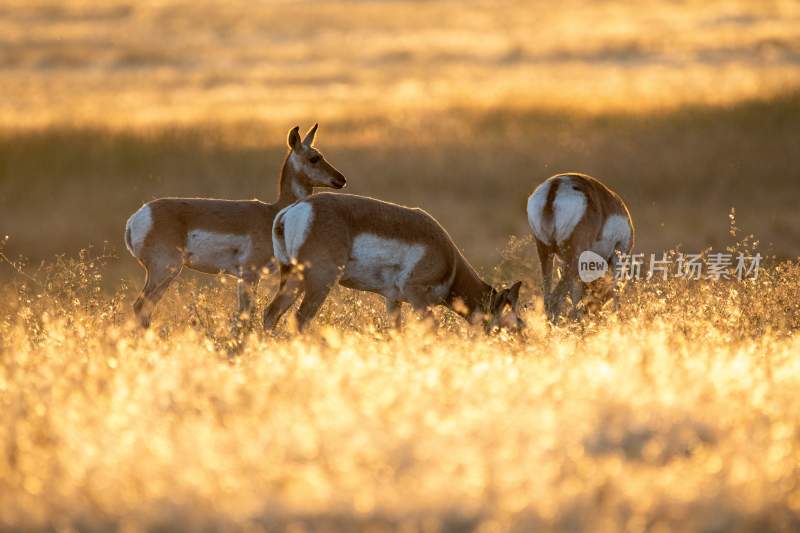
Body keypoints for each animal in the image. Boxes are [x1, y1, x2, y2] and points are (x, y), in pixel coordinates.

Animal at [124, 124, 344, 328]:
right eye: (314, 158)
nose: (341, 179)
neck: (272, 212)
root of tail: (137, 217)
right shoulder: (249, 275)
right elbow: (245, 315)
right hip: (165, 270)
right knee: (140, 306)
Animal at [262, 191, 524, 332]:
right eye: (515, 323)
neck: (450, 262)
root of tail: (295, 209)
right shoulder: (416, 294)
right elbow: (432, 327)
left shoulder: (392, 299)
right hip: (320, 282)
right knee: (299, 319)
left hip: (293, 279)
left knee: (271, 313)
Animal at [528, 174, 636, 320]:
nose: (592, 313)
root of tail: (555, 186)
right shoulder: (618, 258)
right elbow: (615, 291)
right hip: (574, 260)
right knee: (555, 299)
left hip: (546, 252)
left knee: (548, 298)